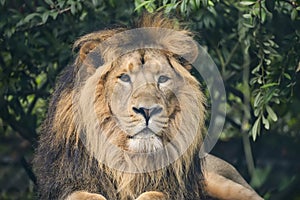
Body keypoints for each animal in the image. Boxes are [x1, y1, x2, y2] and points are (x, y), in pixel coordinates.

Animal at [32, 13, 262, 199]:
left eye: (162, 79)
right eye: (125, 77)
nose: (148, 110)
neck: (128, 162)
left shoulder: (172, 188)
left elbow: (153, 195)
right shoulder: (70, 183)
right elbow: (88, 196)